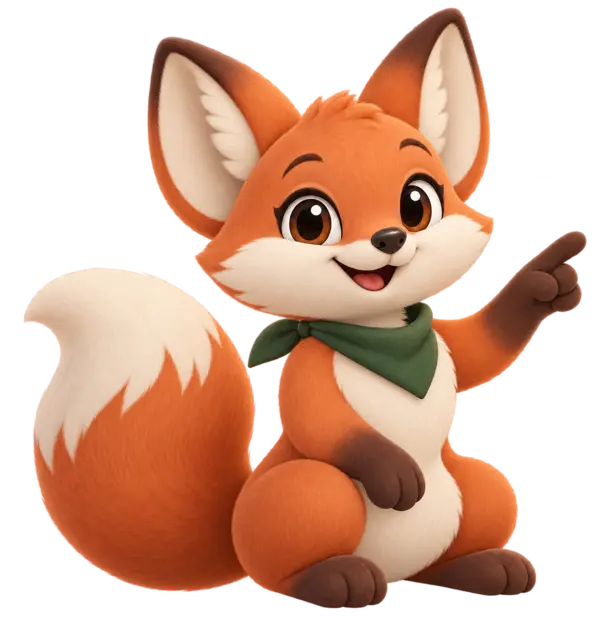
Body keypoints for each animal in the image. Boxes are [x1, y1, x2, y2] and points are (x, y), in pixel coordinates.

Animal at [27, 8, 585, 610]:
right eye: (310, 220)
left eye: (418, 203)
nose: (390, 238)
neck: (383, 335)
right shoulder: (309, 369)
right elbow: (324, 424)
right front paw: (391, 472)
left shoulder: (443, 343)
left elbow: (481, 351)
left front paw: (544, 283)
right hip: (306, 496)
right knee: (299, 553)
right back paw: (339, 580)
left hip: (482, 488)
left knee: (461, 537)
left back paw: (486, 568)